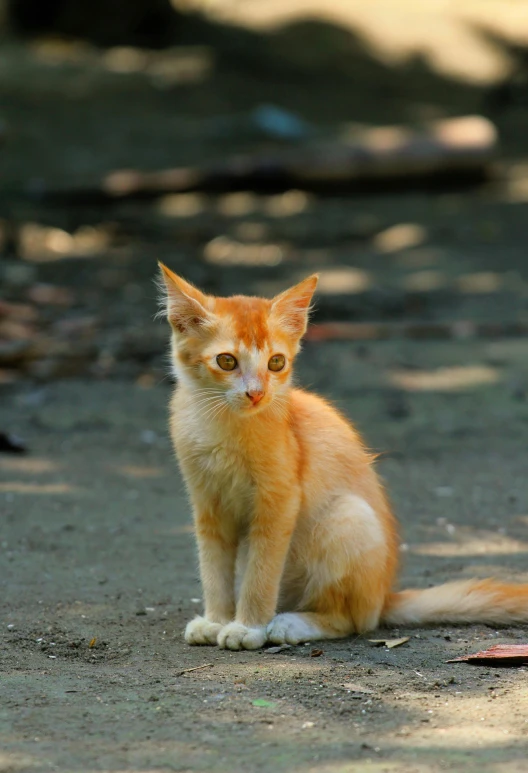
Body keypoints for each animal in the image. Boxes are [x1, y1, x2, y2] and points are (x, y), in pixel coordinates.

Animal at [158, 262, 528, 648]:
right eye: (227, 361)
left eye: (276, 363)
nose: (256, 394)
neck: (221, 425)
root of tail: (383, 595)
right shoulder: (207, 505)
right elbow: (213, 570)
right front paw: (216, 620)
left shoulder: (279, 502)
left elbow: (260, 574)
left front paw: (248, 627)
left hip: (347, 517)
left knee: (351, 621)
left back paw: (291, 624)